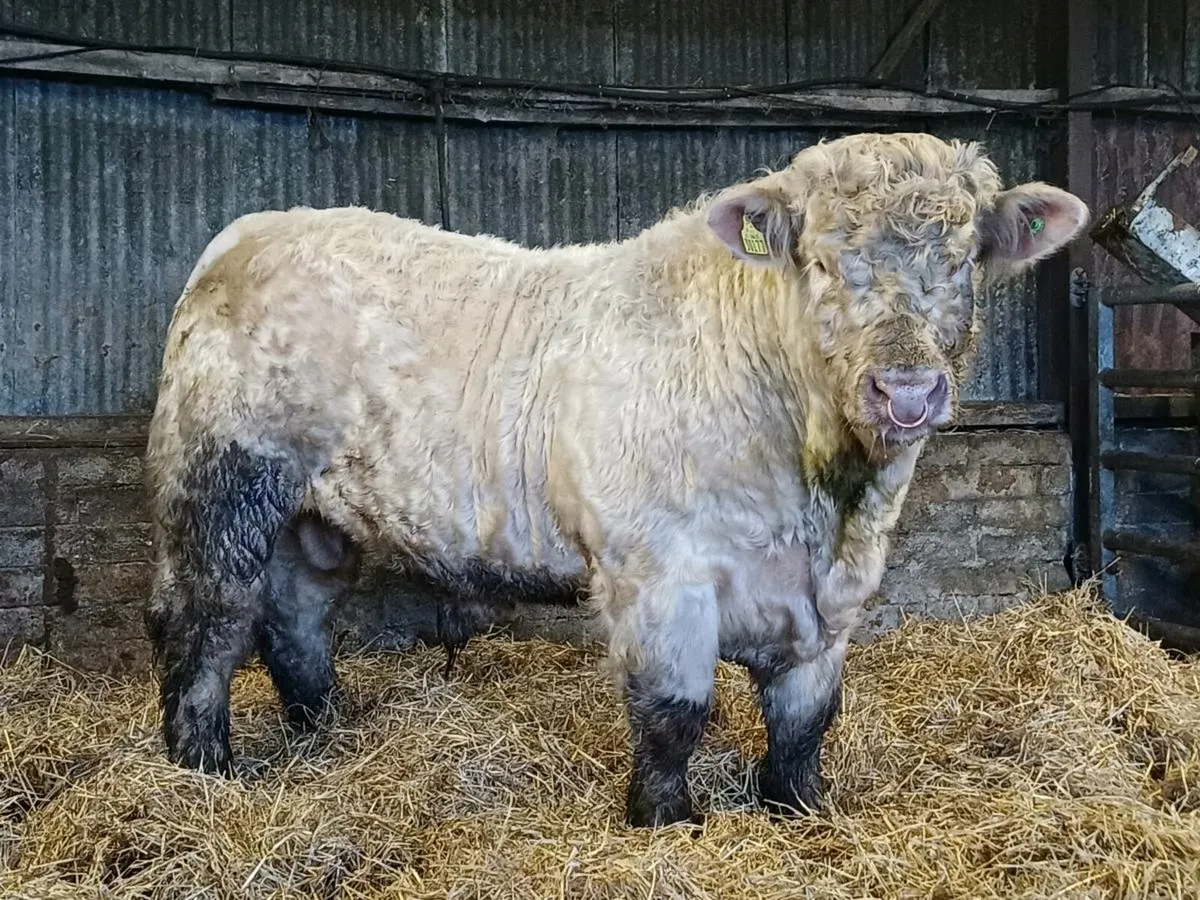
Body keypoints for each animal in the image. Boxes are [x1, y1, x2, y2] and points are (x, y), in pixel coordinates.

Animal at [143, 132, 1088, 828]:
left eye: (964, 260)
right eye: (821, 262)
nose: (908, 390)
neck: (822, 497)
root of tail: (250, 231)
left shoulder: (835, 599)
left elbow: (806, 722)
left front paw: (800, 811)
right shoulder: (657, 572)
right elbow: (674, 711)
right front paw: (667, 822)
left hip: (315, 518)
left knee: (294, 620)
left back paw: (321, 737)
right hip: (218, 485)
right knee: (204, 620)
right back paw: (203, 767)